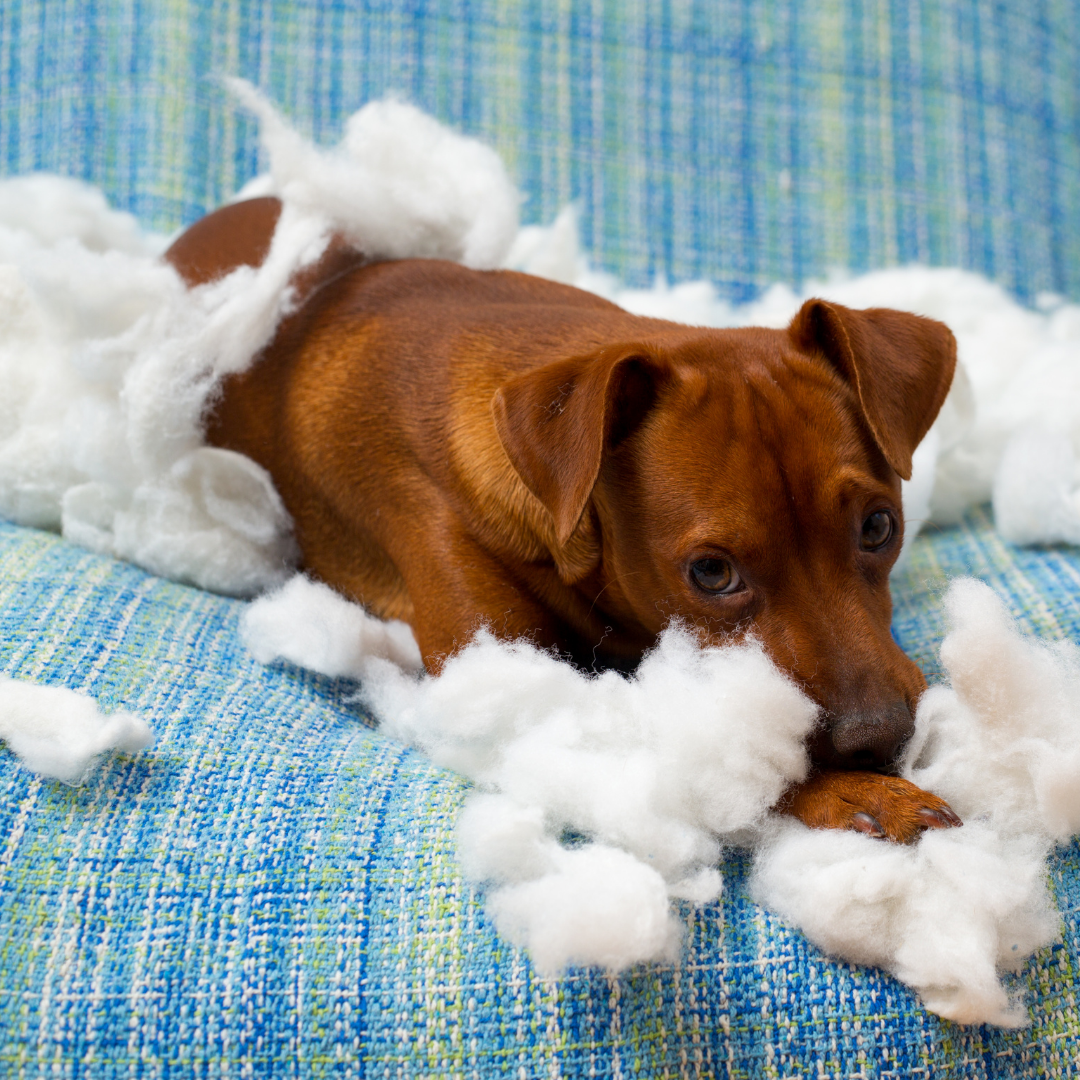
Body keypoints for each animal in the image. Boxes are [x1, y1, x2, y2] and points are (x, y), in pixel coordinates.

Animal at [166, 198, 963, 846]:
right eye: (711, 572)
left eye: (879, 528)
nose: (879, 740)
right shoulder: (501, 671)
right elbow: (721, 754)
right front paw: (859, 794)